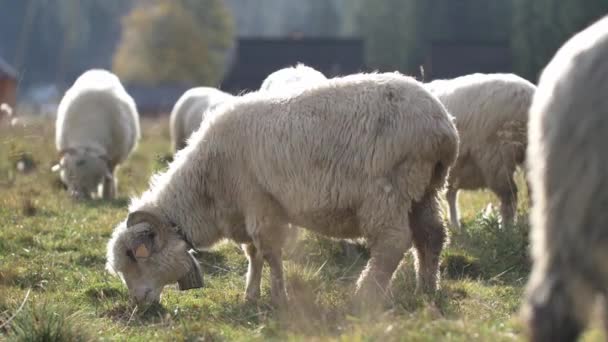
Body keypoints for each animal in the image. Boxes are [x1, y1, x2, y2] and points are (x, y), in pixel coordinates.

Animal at [52, 68, 140, 199]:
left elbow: (108, 178)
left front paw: (106, 196)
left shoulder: (112, 158)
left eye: (94, 177)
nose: (79, 197)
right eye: (71, 174)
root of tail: (98, 70)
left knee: (112, 176)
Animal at [105, 71, 456, 308]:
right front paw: (251, 294)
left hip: (387, 190)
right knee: (432, 236)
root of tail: (442, 126)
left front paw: (278, 297)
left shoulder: (259, 202)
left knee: (393, 242)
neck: (207, 186)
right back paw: (427, 288)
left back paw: (365, 293)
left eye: (134, 257)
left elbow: (270, 253)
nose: (139, 304)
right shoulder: (245, 211)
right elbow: (254, 254)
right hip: (425, 188)